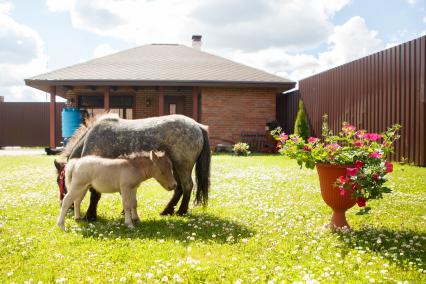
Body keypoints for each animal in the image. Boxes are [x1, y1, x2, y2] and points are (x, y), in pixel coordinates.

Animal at [58, 113, 211, 220]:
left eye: (59, 181)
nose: (63, 204)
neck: (90, 139)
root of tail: (197, 126)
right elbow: (125, 196)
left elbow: (95, 194)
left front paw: (90, 215)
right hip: (174, 168)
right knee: (178, 188)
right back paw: (167, 210)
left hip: (182, 166)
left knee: (187, 186)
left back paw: (181, 211)